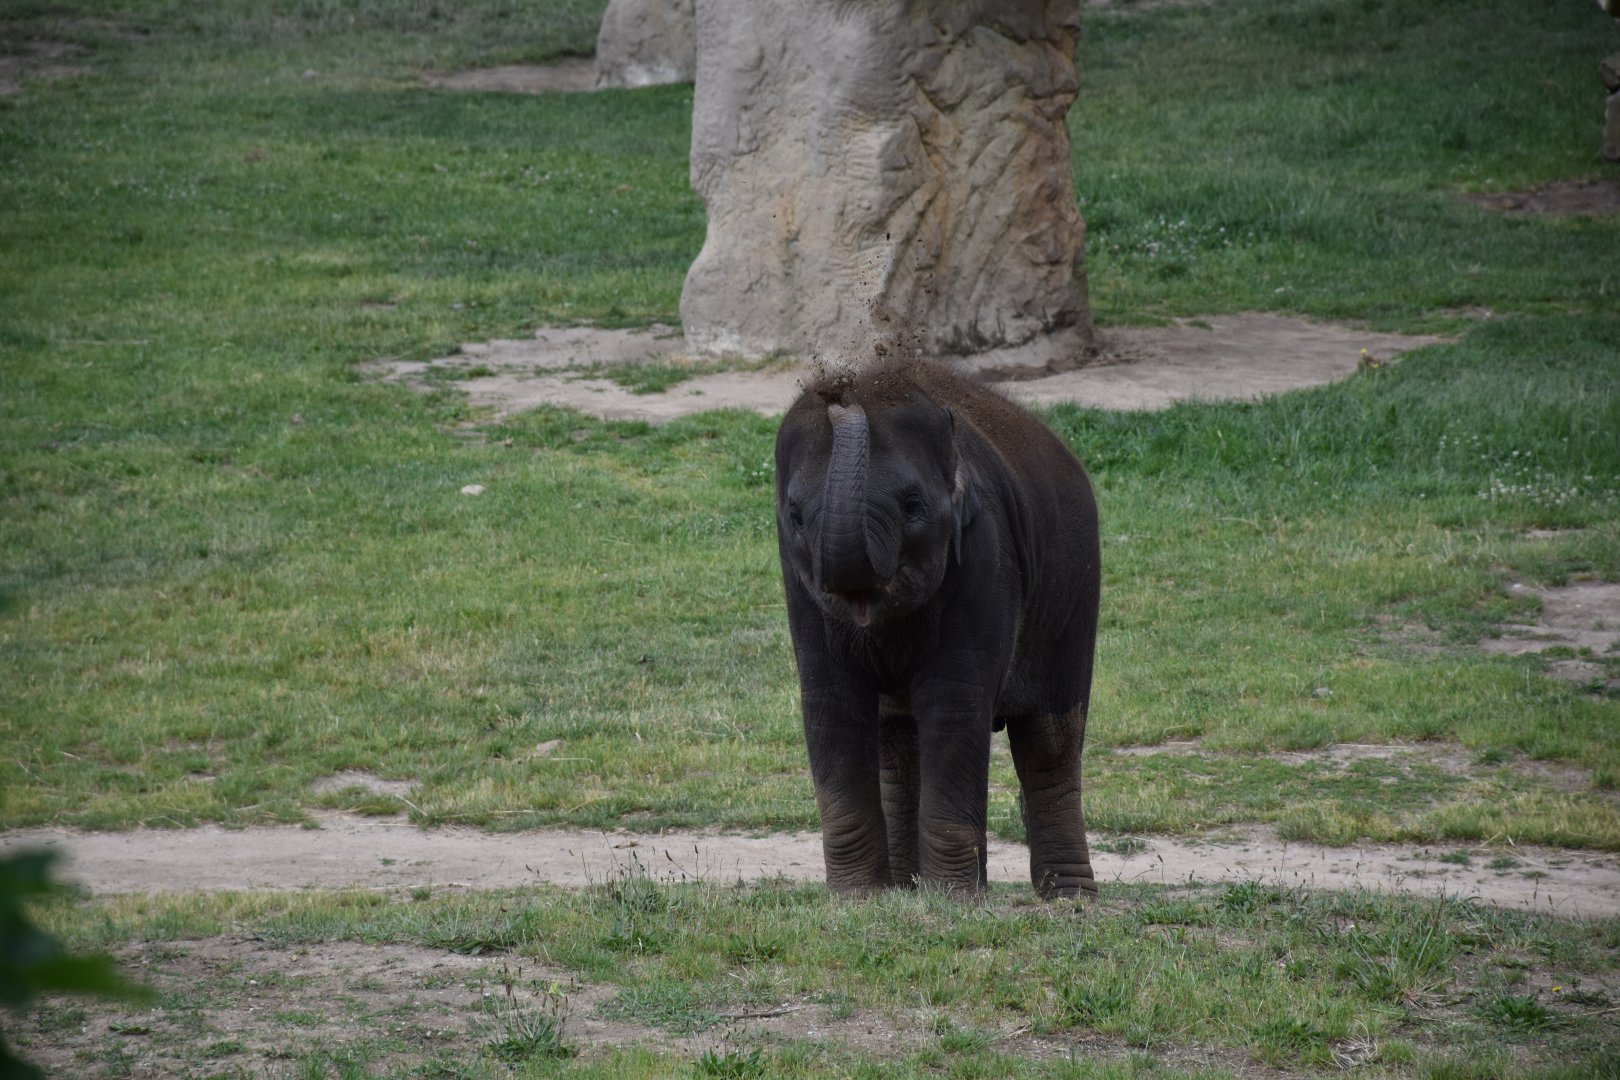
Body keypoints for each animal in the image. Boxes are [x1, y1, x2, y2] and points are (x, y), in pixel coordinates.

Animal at [774, 359, 1100, 898]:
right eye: (796, 517)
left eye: (912, 505)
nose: (837, 392)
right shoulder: (796, 582)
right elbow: (831, 701)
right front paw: (858, 898)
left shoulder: (986, 556)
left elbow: (955, 703)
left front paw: (955, 900)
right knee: (899, 744)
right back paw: (906, 889)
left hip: (1075, 598)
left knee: (1051, 739)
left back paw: (1069, 899)